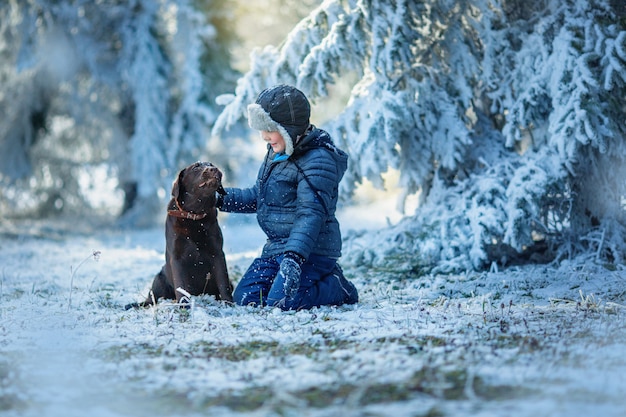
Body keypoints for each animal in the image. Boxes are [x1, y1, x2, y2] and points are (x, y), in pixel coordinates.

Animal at [125, 161, 233, 308]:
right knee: (151, 300)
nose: (214, 169)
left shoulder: (217, 253)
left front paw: (229, 304)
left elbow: (223, 282)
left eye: (211, 164)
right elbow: (181, 285)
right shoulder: (177, 257)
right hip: (159, 279)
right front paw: (183, 306)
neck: (194, 215)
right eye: (196, 167)